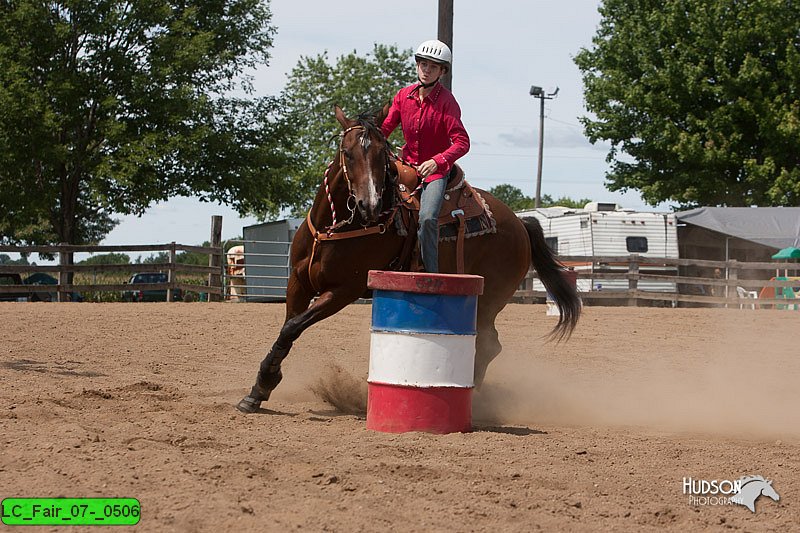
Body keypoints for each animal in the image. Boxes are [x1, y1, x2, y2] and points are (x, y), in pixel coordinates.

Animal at [234, 104, 580, 412]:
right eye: (347, 153)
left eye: (382, 156)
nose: (369, 205)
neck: (331, 228)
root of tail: (520, 223)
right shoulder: (298, 282)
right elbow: (287, 328)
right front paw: (258, 390)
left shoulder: (343, 291)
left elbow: (292, 327)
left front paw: (264, 384)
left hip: (489, 299)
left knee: (488, 343)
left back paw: (476, 399)